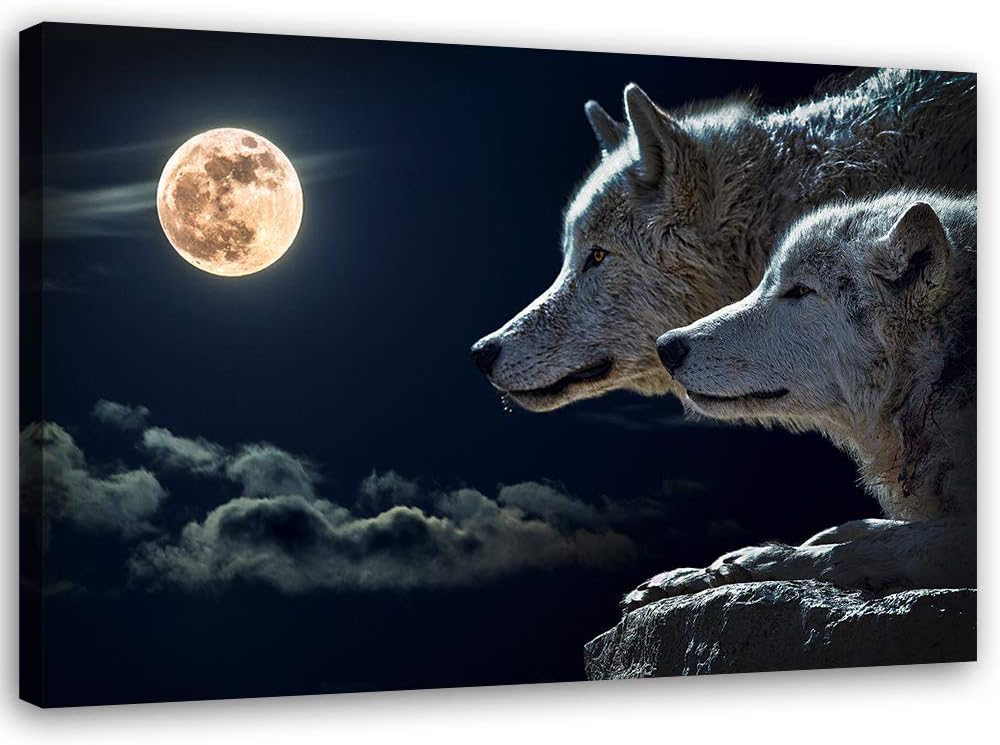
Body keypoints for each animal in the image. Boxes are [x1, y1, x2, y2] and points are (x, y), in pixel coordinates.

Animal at [621, 190, 976, 611]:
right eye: (766, 283)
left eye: (801, 291)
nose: (666, 347)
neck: (940, 374)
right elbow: (861, 528)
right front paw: (692, 574)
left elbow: (860, 548)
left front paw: (749, 563)